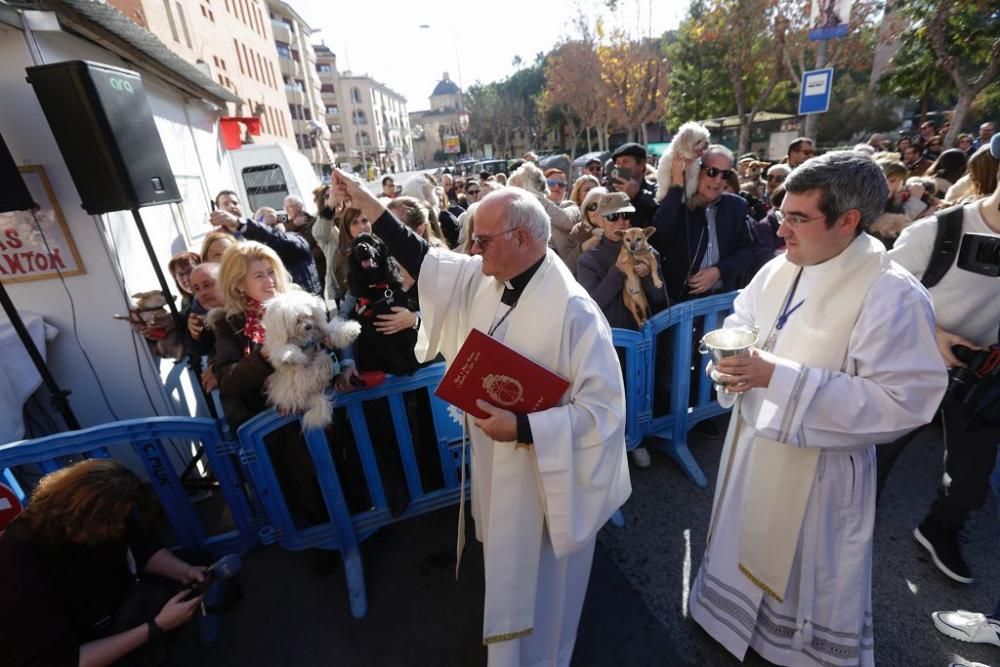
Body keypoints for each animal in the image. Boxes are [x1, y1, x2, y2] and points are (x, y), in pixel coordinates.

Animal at [264, 290, 362, 428]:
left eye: (308, 314)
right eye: (297, 320)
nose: (309, 326)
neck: (303, 339)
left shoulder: (320, 334)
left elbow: (332, 330)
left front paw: (351, 330)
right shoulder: (279, 349)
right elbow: (285, 349)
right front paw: (291, 356)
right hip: (297, 382)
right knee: (316, 372)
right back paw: (325, 362)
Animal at [348, 234, 418, 376]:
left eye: (372, 242)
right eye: (355, 245)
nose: (361, 247)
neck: (377, 288)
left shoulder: (403, 320)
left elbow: (409, 346)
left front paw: (414, 364)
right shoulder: (377, 332)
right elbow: (391, 352)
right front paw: (403, 369)